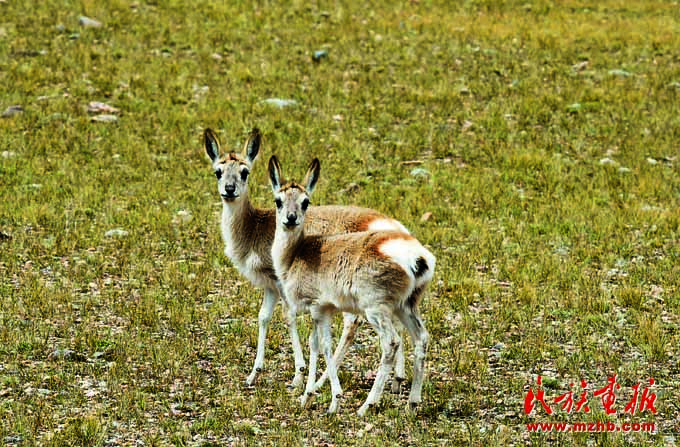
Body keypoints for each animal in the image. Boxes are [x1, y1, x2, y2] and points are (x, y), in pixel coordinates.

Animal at [205, 127, 410, 388]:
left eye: (244, 171)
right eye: (218, 171)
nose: (229, 189)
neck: (254, 226)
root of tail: (394, 230)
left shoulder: (283, 284)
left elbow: (289, 317)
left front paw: (298, 374)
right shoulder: (270, 286)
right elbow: (263, 318)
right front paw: (253, 373)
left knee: (352, 324)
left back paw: (323, 381)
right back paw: (397, 380)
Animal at [266, 156, 432, 414]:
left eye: (305, 202)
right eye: (278, 200)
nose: (290, 218)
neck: (297, 253)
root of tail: (418, 257)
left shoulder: (317, 308)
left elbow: (322, 345)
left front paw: (328, 399)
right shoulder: (324, 311)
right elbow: (316, 344)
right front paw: (308, 395)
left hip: (376, 310)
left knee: (391, 343)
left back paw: (366, 406)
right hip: (405, 308)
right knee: (421, 338)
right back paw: (412, 403)